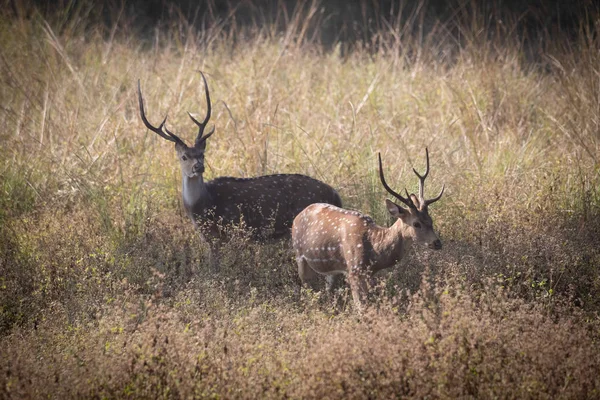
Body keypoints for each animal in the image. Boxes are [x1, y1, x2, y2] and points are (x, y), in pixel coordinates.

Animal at [137, 73, 342, 270]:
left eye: (202, 154)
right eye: (184, 157)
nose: (198, 167)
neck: (204, 206)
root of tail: (334, 193)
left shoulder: (233, 231)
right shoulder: (210, 239)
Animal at [292, 149, 442, 310]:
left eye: (431, 220)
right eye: (416, 224)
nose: (437, 243)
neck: (374, 248)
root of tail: (298, 216)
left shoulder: (368, 274)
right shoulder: (353, 270)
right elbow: (361, 307)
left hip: (330, 268)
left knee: (328, 289)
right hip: (299, 255)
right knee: (306, 285)